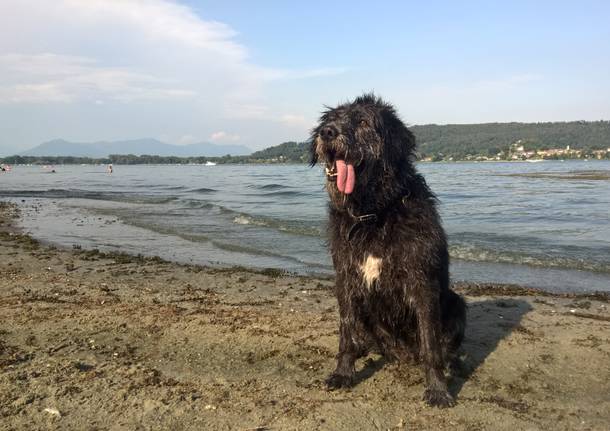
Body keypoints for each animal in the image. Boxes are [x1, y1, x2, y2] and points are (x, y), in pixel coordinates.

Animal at [312, 93, 464, 408]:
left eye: (362, 121)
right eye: (330, 120)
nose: (326, 133)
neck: (374, 212)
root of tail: (401, 353)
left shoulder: (422, 281)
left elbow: (432, 345)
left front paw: (438, 389)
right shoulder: (346, 280)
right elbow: (345, 334)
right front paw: (343, 373)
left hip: (457, 304)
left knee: (445, 347)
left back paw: (452, 364)